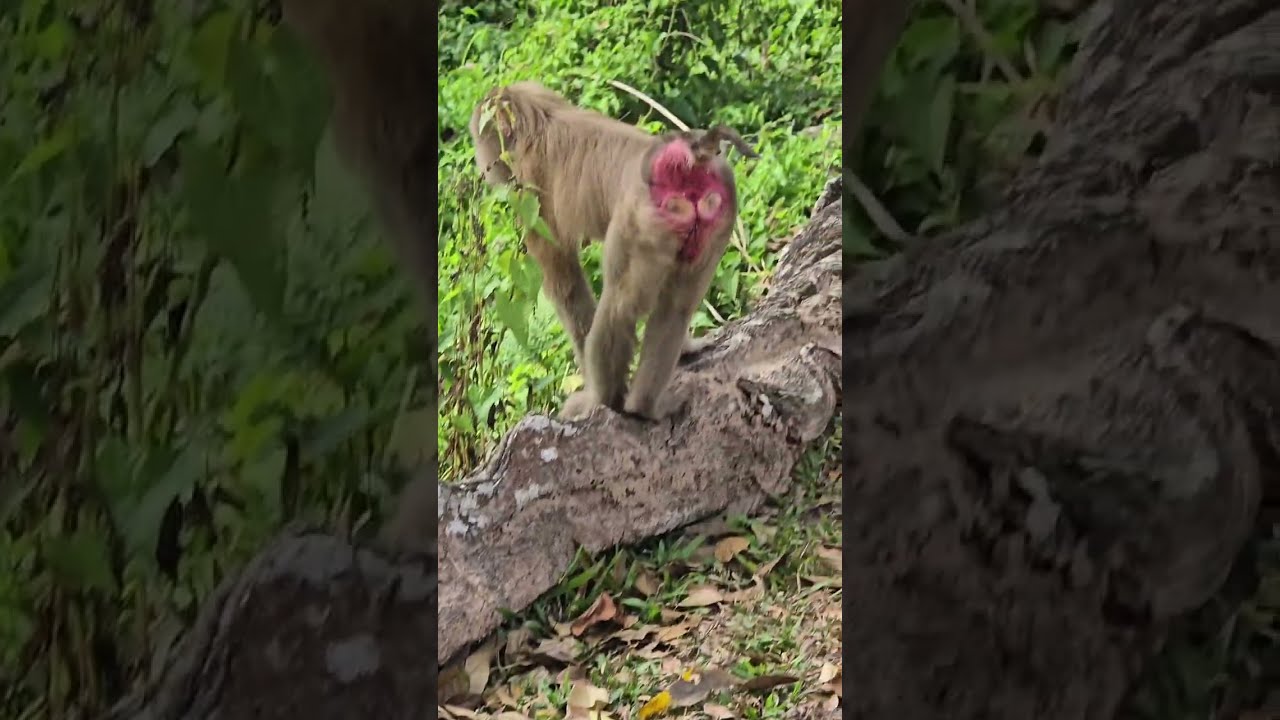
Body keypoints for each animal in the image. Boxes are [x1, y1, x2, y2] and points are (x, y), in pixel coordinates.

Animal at [468, 82, 757, 420]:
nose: (487, 165)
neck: (539, 119)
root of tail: (691, 157)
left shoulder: (528, 195)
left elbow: (566, 287)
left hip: (643, 221)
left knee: (620, 303)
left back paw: (606, 400)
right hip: (717, 219)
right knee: (676, 306)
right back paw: (647, 403)